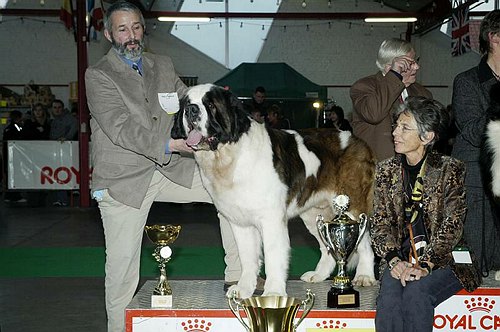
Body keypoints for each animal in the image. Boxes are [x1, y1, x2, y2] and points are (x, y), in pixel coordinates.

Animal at [171, 83, 376, 298]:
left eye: (210, 104)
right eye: (186, 103)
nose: (191, 110)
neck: (228, 156)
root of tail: (357, 141)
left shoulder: (271, 219)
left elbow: (273, 256)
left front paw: (273, 294)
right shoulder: (240, 222)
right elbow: (247, 257)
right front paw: (244, 289)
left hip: (352, 206)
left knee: (364, 243)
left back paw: (365, 276)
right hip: (314, 214)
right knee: (326, 247)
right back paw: (318, 275)